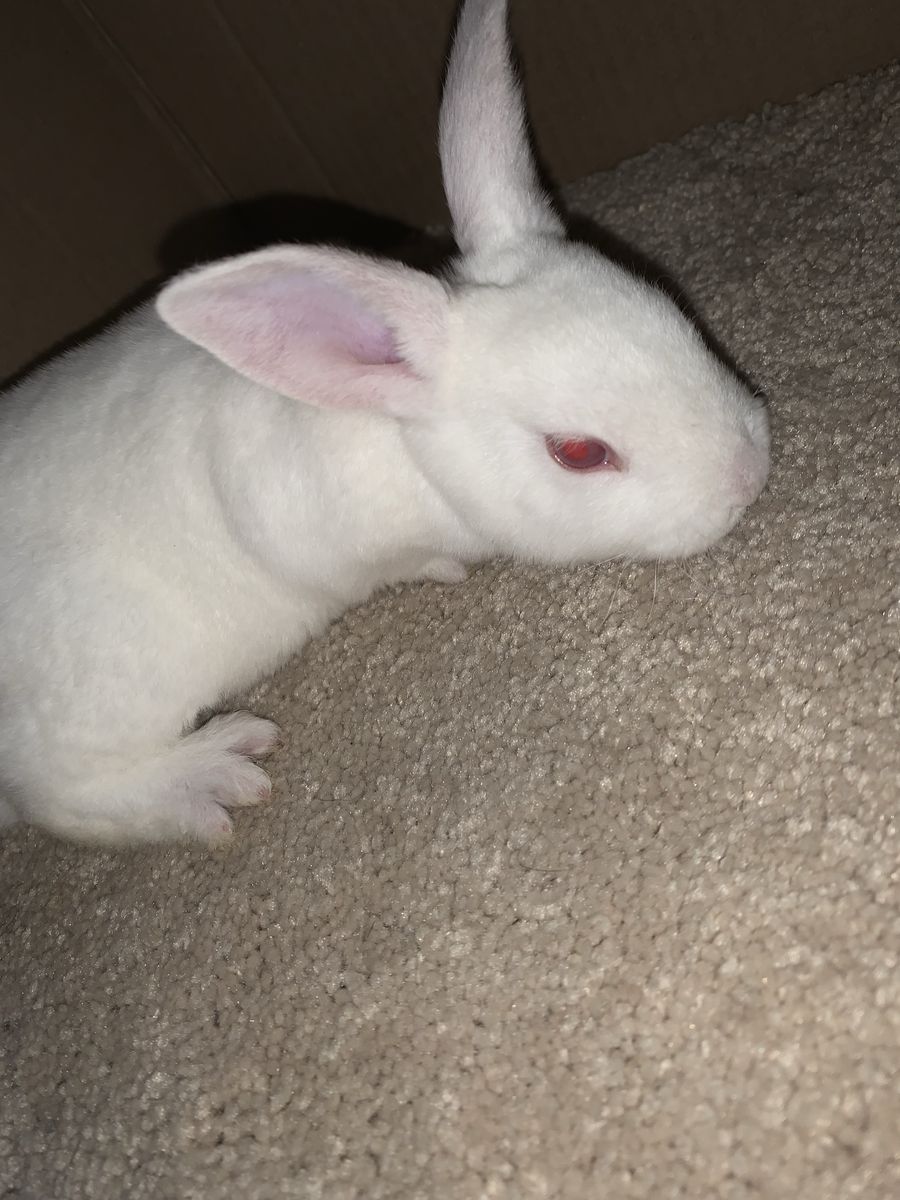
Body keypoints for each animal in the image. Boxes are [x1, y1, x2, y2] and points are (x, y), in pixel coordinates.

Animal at [0, 0, 769, 845]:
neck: (402, 441)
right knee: (65, 795)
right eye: (579, 452)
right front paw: (446, 570)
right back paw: (213, 776)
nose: (750, 474)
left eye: (673, 311)